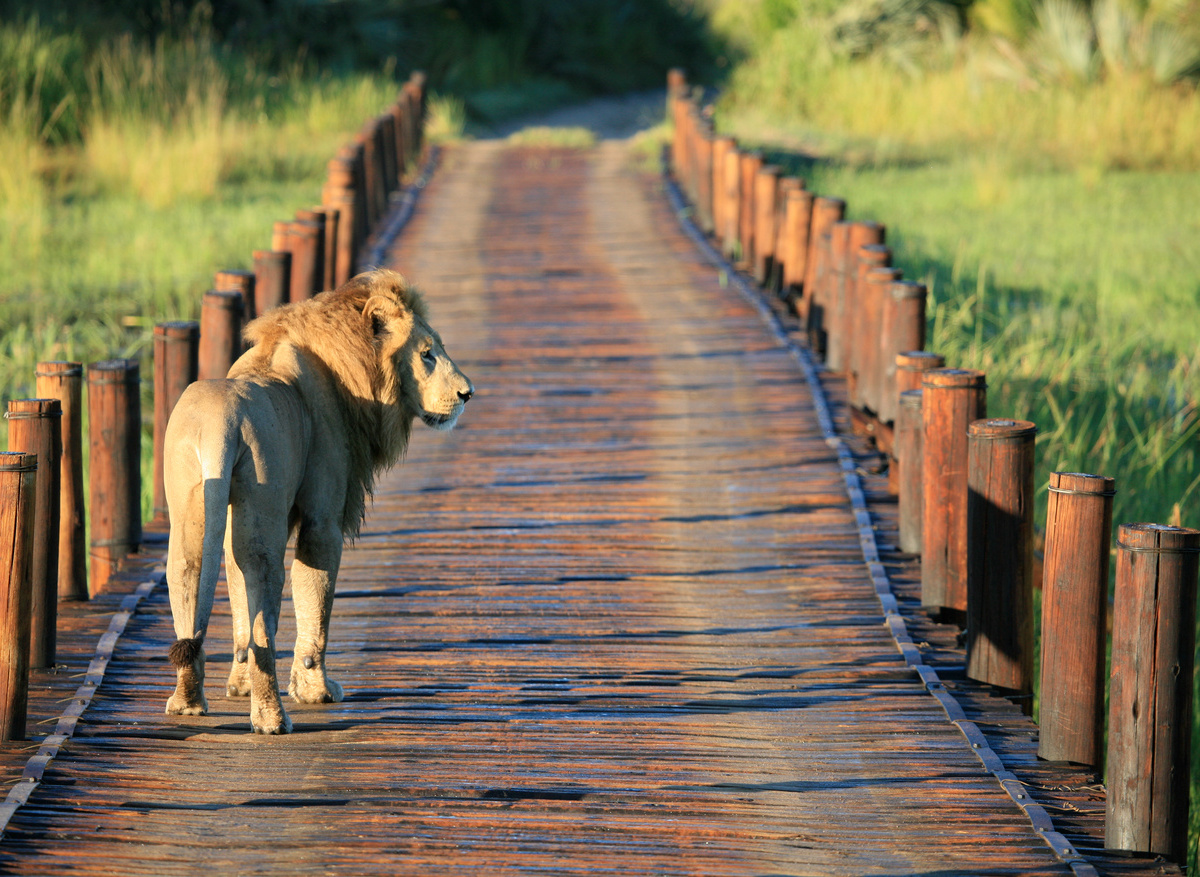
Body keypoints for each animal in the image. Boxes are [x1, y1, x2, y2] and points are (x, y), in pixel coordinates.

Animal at [162, 268, 473, 734]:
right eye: (427, 354)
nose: (467, 394)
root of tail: (221, 422)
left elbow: (237, 603)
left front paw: (238, 687)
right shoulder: (322, 518)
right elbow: (316, 600)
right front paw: (316, 690)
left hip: (190, 498)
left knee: (191, 577)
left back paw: (187, 703)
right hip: (265, 506)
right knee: (263, 607)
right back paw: (272, 718)